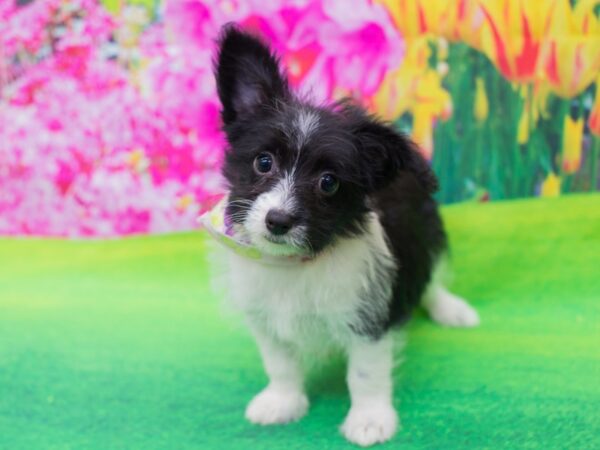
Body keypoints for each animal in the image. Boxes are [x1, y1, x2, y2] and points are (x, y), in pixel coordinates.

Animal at [213, 26, 480, 448]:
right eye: (263, 162)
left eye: (328, 182)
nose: (278, 221)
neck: (295, 265)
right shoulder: (264, 315)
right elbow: (280, 364)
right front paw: (282, 402)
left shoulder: (370, 315)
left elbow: (365, 374)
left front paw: (370, 420)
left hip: (427, 232)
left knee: (431, 277)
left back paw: (451, 309)